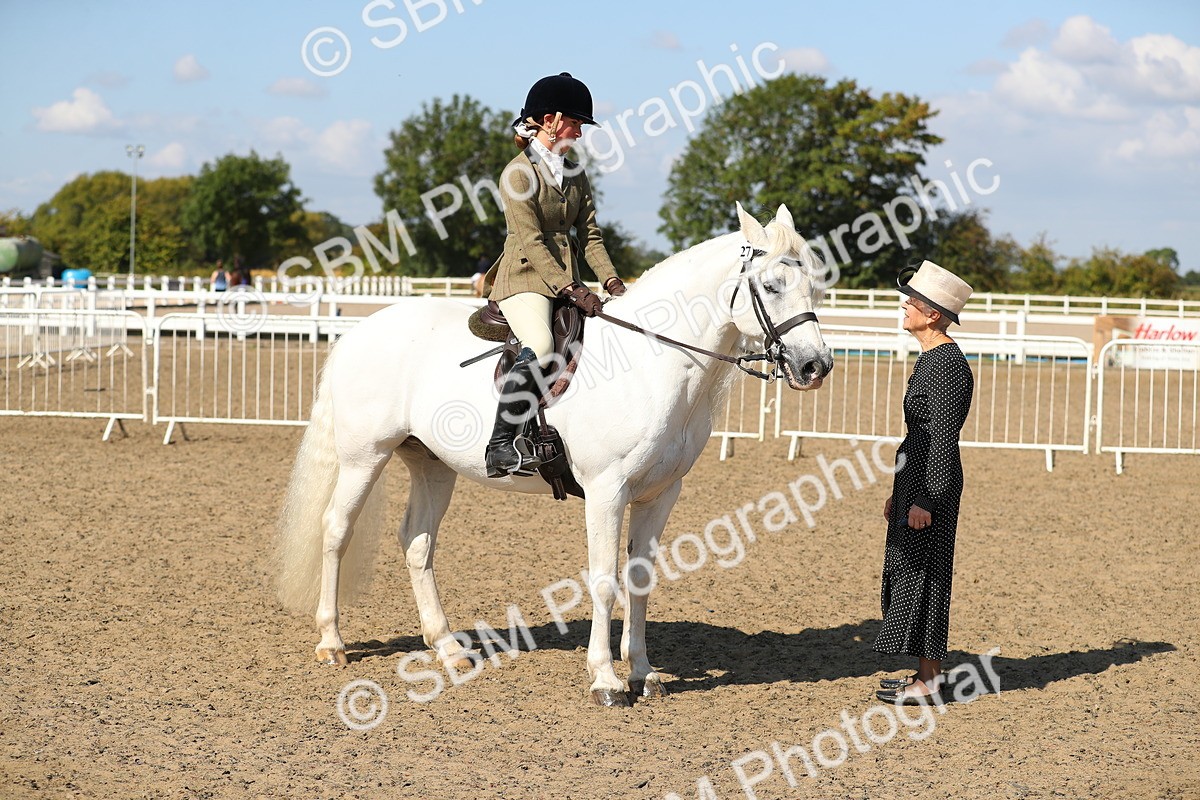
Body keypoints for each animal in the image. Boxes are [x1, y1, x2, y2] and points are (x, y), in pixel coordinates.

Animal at [274, 202, 834, 706]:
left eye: (814, 287)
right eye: (772, 286)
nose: (816, 366)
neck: (650, 363)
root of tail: (361, 331)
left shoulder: (660, 494)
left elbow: (640, 580)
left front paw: (643, 673)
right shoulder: (606, 491)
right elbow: (605, 581)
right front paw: (605, 680)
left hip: (432, 465)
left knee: (417, 543)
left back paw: (448, 647)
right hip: (363, 457)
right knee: (336, 531)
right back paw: (332, 641)